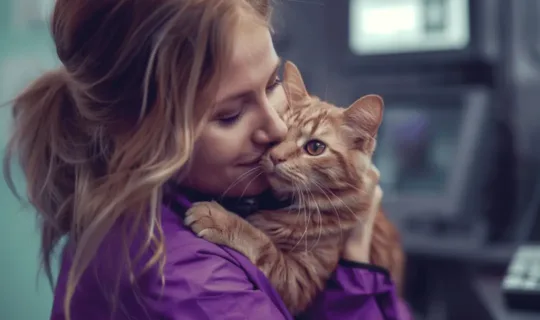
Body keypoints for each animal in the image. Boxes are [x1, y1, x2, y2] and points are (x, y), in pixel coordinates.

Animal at [186, 60, 384, 316]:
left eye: (315, 147)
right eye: (278, 134)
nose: (275, 156)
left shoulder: (300, 280)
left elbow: (263, 245)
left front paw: (221, 220)